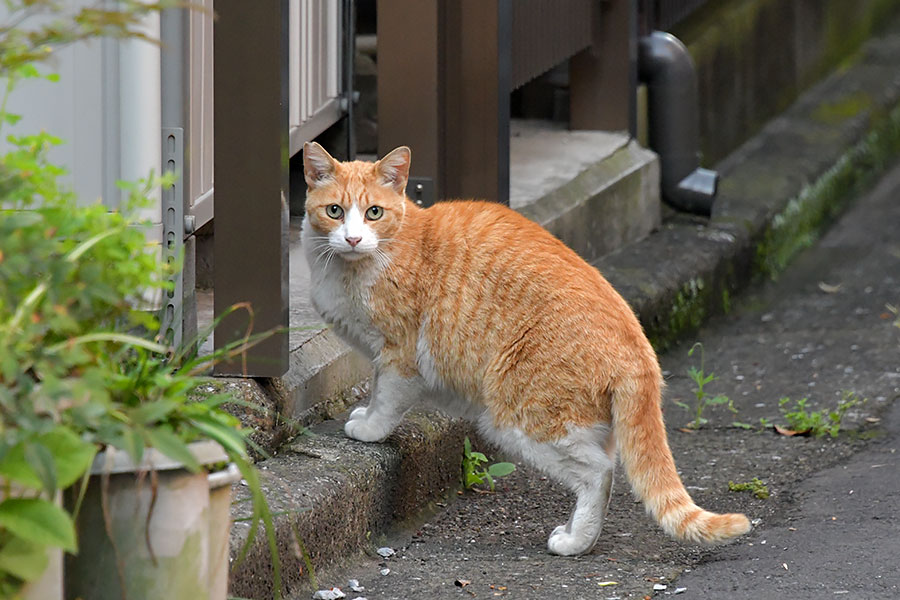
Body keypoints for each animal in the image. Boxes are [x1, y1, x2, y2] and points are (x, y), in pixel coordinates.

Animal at [302, 143, 752, 556]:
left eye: (374, 213)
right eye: (335, 212)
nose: (353, 238)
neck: (355, 267)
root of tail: (641, 351)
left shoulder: (400, 353)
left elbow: (385, 397)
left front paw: (368, 427)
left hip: (520, 419)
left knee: (599, 473)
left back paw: (574, 542)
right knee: (603, 467)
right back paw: (576, 533)